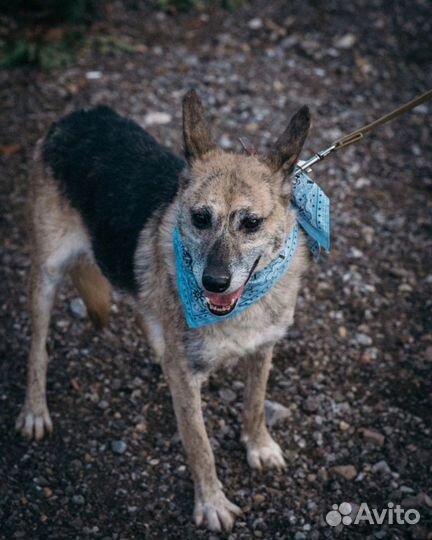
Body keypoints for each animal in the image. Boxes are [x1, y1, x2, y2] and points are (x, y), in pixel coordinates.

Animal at [16, 89, 310, 532]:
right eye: (200, 218)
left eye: (251, 223)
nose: (214, 283)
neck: (241, 308)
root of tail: (80, 115)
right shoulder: (188, 378)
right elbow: (200, 445)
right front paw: (211, 503)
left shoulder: (263, 350)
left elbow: (255, 404)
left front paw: (259, 446)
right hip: (47, 273)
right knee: (37, 348)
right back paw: (34, 410)